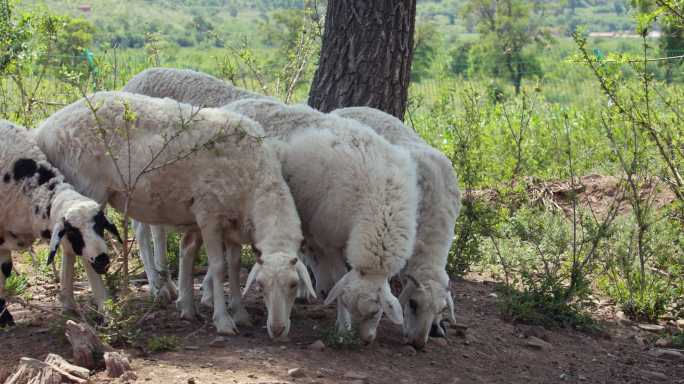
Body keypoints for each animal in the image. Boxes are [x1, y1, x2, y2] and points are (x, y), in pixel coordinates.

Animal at [30, 92, 312, 336]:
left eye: (293, 285)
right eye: (262, 286)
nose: (277, 330)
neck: (258, 184)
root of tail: (44, 128)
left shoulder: (231, 221)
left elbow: (227, 264)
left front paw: (231, 311)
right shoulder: (209, 214)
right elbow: (218, 266)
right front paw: (222, 319)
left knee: (68, 245)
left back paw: (68, 302)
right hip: (88, 187)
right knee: (85, 251)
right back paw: (105, 307)